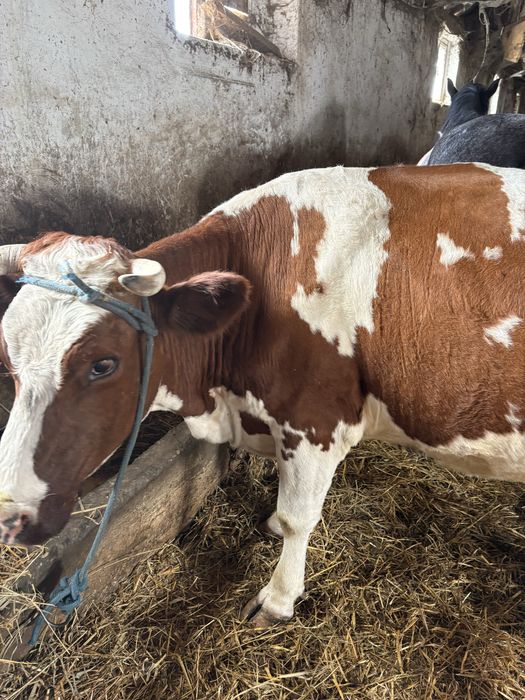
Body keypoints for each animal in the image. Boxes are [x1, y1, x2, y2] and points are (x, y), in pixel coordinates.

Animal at [0, 163, 524, 627]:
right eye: (7, 358)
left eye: (103, 364)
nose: (9, 515)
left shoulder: (315, 421)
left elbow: (298, 518)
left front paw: (278, 597)